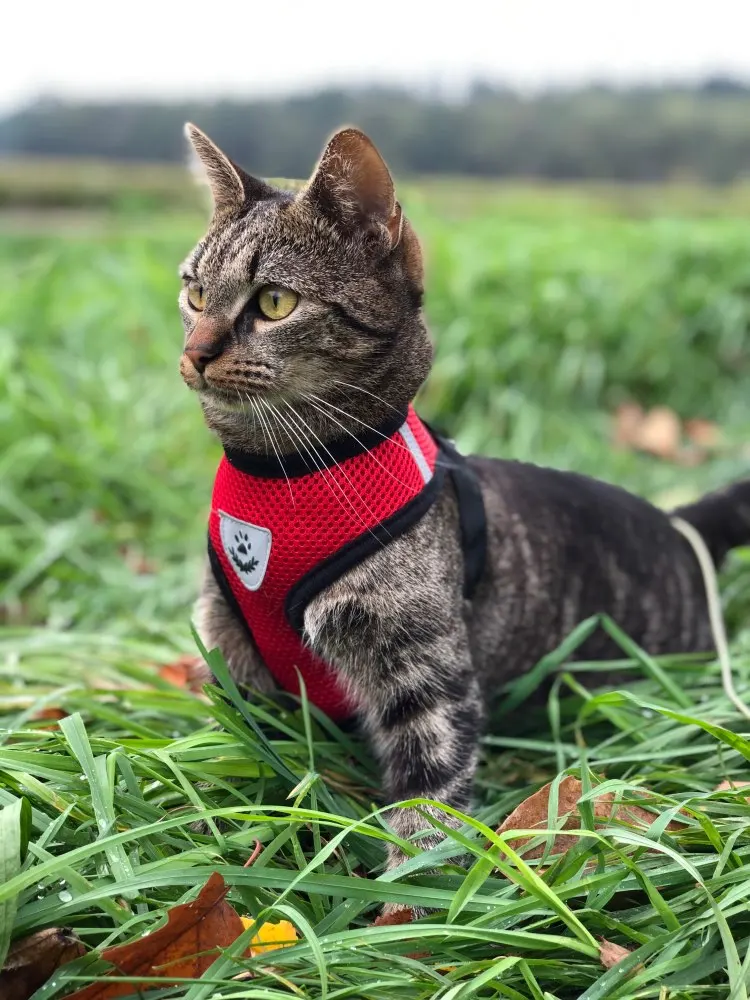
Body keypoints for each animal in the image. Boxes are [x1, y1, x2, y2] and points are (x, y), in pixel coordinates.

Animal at [179, 122, 750, 915]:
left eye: (273, 302)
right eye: (195, 291)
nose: (194, 352)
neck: (282, 477)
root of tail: (681, 524)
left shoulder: (428, 678)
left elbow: (425, 811)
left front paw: (404, 920)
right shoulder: (234, 661)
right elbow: (244, 766)